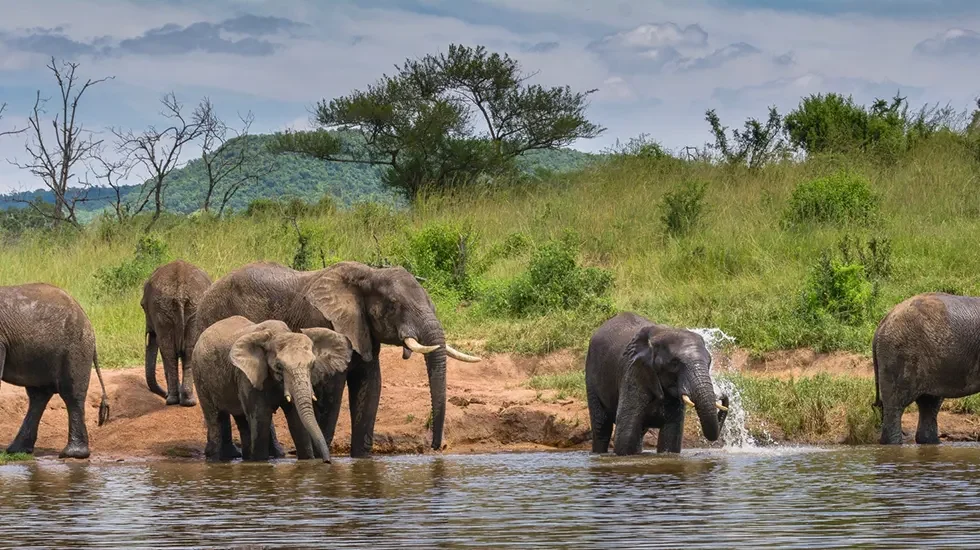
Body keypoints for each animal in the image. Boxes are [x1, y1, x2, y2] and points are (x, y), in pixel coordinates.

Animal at [141, 259, 212, 406]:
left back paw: (178, 399)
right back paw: (182, 400)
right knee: (181, 351)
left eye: (142, 306)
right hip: (171, 311)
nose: (164, 394)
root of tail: (180, 293)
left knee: (172, 352)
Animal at [192, 316, 351, 462]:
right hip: (200, 376)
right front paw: (260, 462)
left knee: (242, 420)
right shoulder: (247, 376)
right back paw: (214, 459)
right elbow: (261, 416)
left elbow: (297, 420)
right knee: (215, 418)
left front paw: (307, 460)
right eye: (279, 367)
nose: (327, 461)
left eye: (312, 365)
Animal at [585, 312, 730, 455]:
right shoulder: (633, 371)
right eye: (675, 363)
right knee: (602, 427)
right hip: (591, 375)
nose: (723, 395)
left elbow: (671, 436)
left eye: (709, 362)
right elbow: (626, 434)